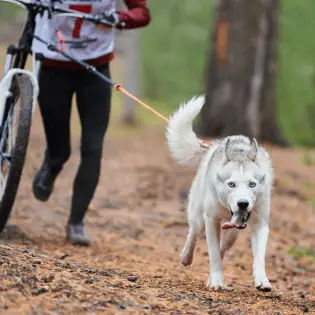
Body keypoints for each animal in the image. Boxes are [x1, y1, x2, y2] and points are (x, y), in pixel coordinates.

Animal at [168, 95, 274, 292]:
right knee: (194, 233)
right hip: (199, 218)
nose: (243, 203)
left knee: (223, 247)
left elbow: (259, 258)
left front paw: (262, 281)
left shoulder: (260, 225)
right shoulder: (211, 220)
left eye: (252, 184)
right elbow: (214, 254)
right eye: (231, 184)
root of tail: (212, 145)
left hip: (232, 234)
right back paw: (186, 257)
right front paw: (217, 282)